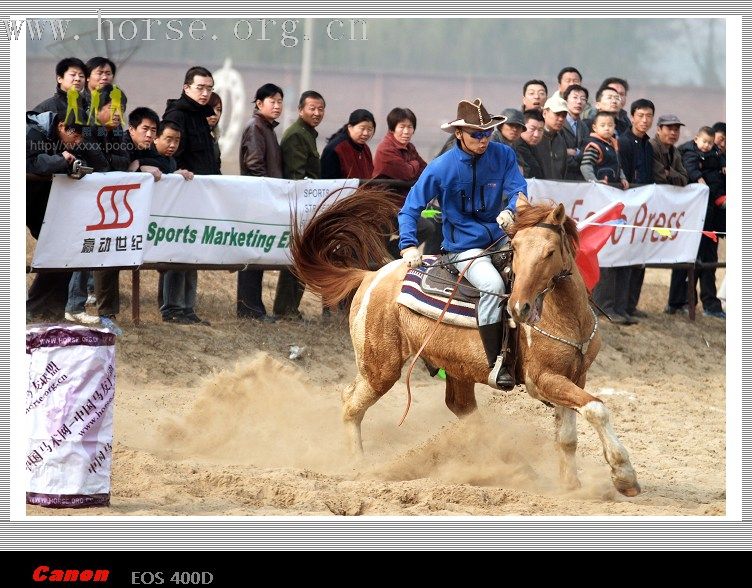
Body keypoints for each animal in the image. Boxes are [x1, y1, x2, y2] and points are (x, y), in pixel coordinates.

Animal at [288, 187, 640, 496]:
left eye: (550, 252)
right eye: (516, 249)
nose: (519, 308)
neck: (566, 315)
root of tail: (369, 275)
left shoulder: (575, 376)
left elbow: (567, 435)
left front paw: (572, 485)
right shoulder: (543, 379)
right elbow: (597, 409)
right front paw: (624, 476)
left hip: (455, 369)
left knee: (462, 410)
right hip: (380, 367)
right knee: (351, 403)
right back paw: (358, 465)